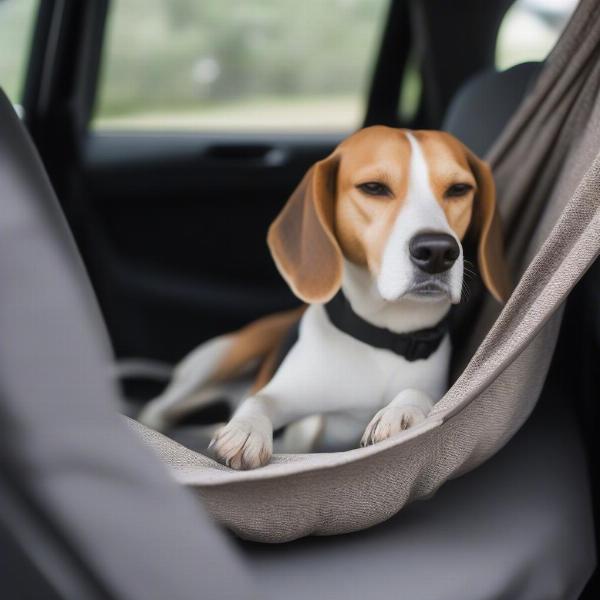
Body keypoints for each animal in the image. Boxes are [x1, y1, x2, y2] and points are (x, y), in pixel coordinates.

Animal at [138, 129, 508, 472]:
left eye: (459, 189)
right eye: (374, 187)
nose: (437, 251)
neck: (383, 337)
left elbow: (419, 394)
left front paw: (401, 412)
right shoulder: (289, 403)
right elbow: (261, 401)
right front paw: (246, 430)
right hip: (221, 358)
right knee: (159, 409)